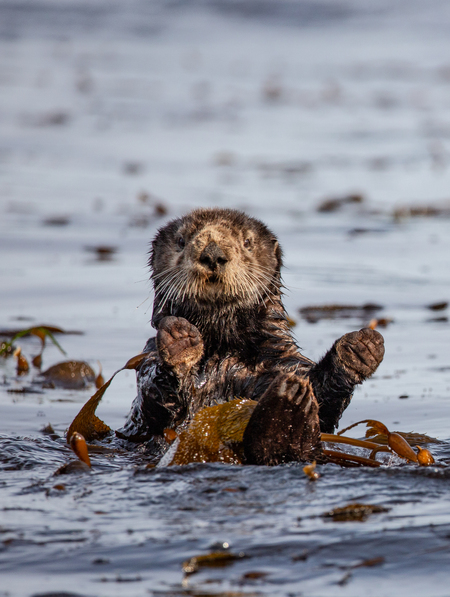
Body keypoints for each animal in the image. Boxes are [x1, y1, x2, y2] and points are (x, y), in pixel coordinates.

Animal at [117, 207, 384, 464]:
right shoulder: (148, 359)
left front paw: (359, 348)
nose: (213, 254)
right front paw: (179, 341)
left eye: (247, 242)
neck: (224, 350)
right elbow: (154, 403)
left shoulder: (280, 362)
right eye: (181, 241)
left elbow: (323, 406)